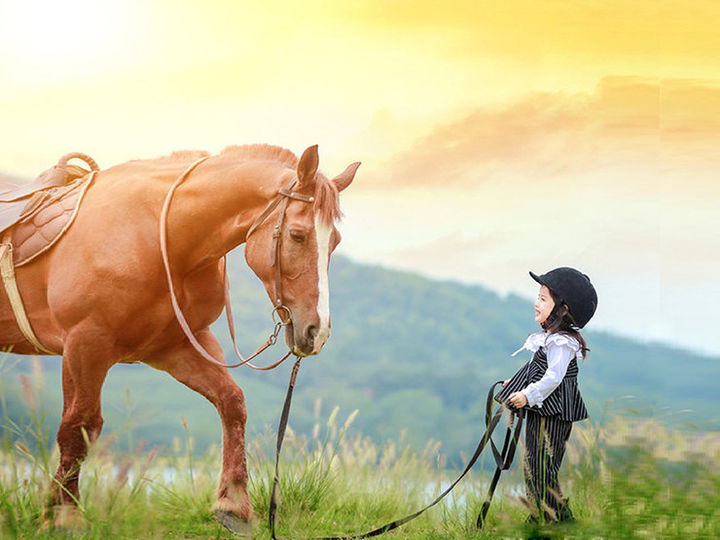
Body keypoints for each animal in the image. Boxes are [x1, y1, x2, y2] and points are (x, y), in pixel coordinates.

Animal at [0, 144, 358, 536]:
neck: (160, 238)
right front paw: (63, 516)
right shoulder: (85, 343)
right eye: (297, 235)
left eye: (335, 242)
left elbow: (232, 403)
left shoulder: (176, 347)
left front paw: (234, 506)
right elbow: (78, 428)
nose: (317, 330)